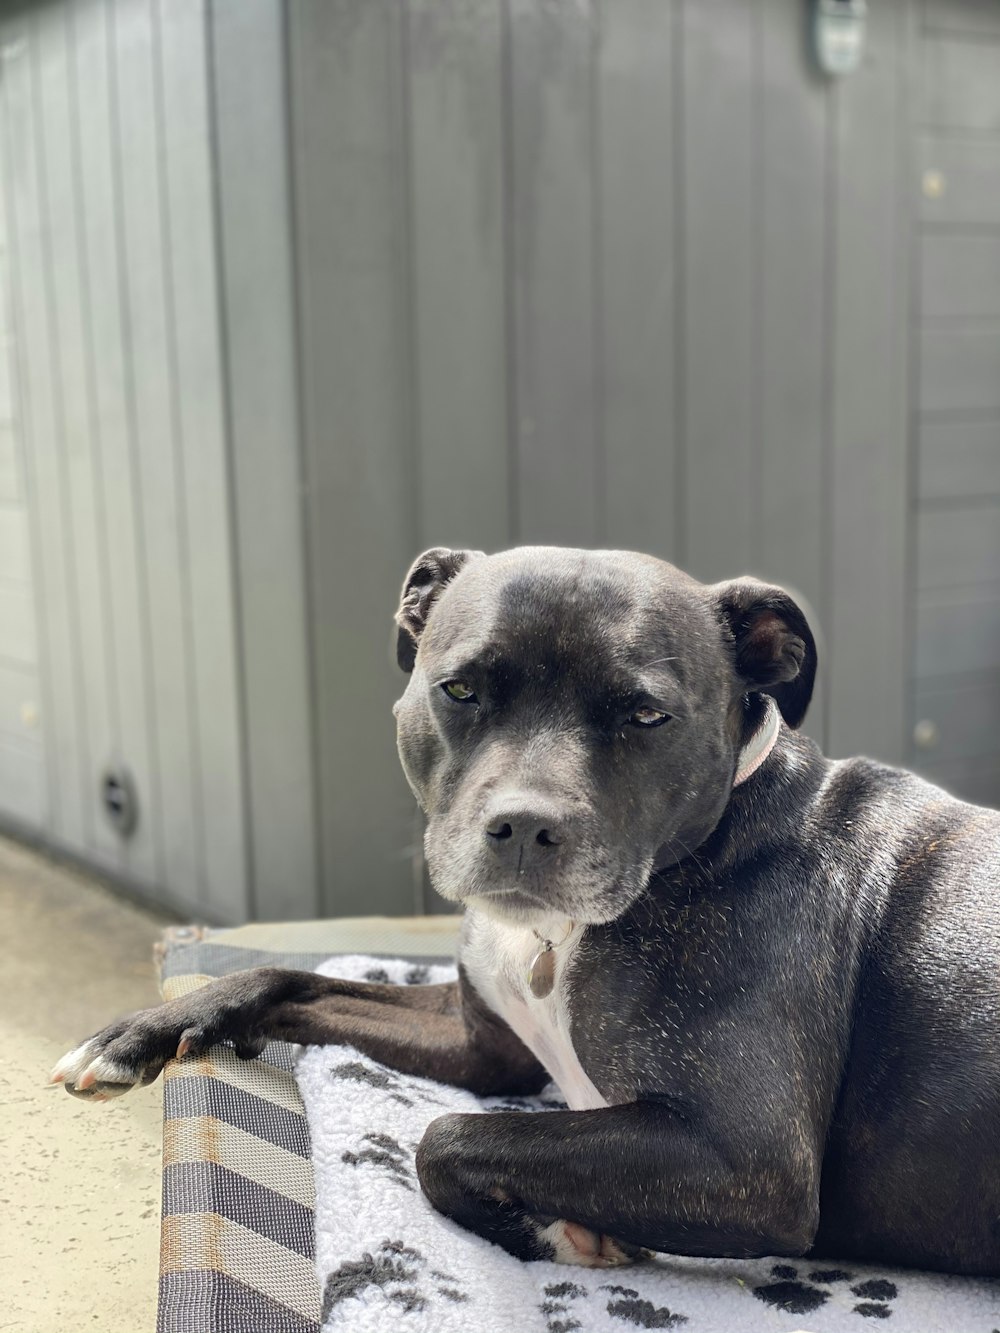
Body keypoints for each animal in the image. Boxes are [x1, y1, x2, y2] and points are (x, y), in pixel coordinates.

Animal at [53, 546, 1000, 1274]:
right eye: (461, 689)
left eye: (645, 713)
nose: (524, 825)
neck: (558, 934)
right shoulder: (482, 1045)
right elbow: (290, 976)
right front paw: (141, 1030)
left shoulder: (747, 1161)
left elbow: (446, 1137)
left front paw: (558, 1225)